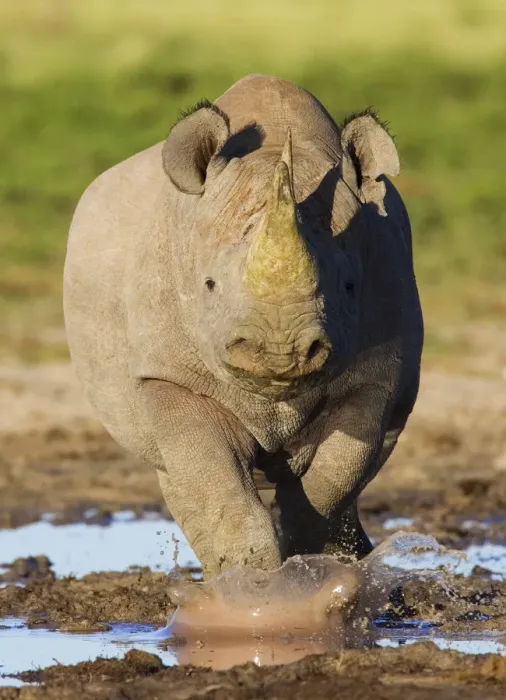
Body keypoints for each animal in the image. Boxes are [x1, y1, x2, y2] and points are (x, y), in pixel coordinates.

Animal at [64, 74, 423, 577]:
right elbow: (215, 483)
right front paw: (251, 579)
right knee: (176, 472)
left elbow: (337, 474)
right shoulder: (170, 375)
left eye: (350, 287)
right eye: (209, 285)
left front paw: (304, 562)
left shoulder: (378, 372)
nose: (280, 353)